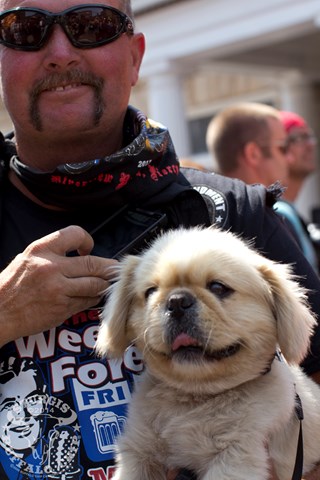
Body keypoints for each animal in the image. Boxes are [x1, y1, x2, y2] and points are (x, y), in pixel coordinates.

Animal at [96, 227, 320, 478]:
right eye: (150, 292)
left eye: (218, 288)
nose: (176, 301)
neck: (195, 399)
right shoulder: (138, 451)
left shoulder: (236, 458)